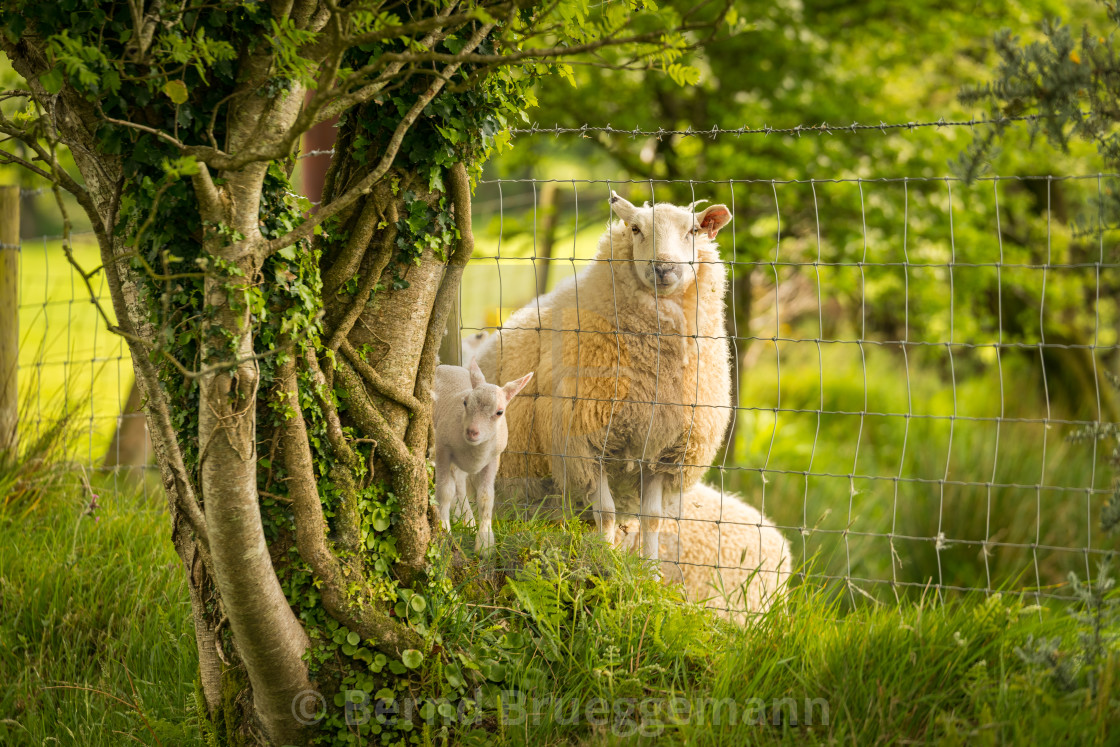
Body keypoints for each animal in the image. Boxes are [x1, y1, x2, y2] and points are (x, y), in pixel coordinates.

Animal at [430, 358, 530, 557]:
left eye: (500, 412)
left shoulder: (493, 459)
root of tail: (445, 366)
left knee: (460, 484)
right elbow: (445, 491)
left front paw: (485, 543)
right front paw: (444, 530)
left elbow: (486, 497)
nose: (472, 432)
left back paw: (468, 521)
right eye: (465, 402)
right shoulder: (443, 449)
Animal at [472, 192, 734, 559]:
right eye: (635, 228)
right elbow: (606, 513)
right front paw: (606, 562)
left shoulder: (663, 449)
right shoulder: (581, 442)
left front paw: (649, 569)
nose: (664, 268)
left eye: (694, 231)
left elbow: (652, 519)